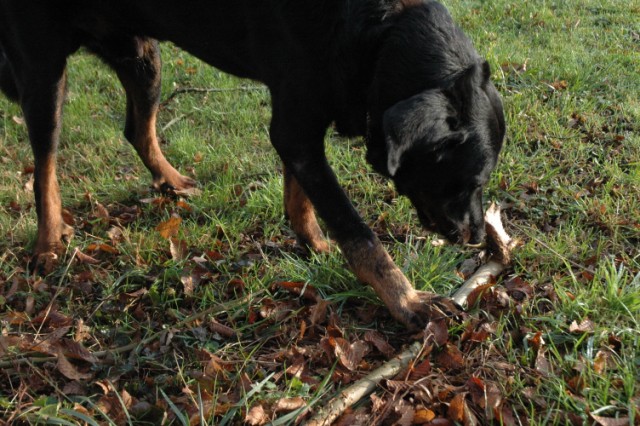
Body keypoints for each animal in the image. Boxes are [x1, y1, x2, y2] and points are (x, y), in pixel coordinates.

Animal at [1, 0, 504, 330]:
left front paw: (311, 242)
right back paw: (48, 240)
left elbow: (299, 196)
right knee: (44, 162)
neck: (376, 35)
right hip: (44, 71)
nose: (478, 237)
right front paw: (407, 300)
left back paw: (171, 181)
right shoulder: (296, 127)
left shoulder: (298, 128)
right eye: (468, 181)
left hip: (142, 55)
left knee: (136, 130)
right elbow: (358, 233)